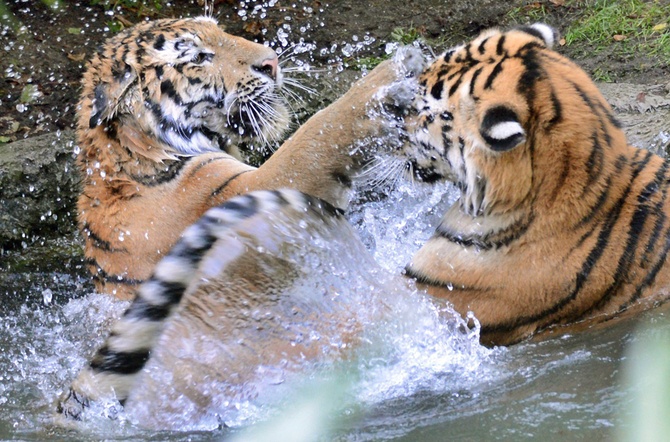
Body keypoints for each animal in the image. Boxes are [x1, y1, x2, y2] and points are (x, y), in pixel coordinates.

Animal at [79, 16, 422, 300]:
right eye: (198, 57)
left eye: (221, 30)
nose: (271, 62)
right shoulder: (253, 192)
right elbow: (318, 131)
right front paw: (394, 73)